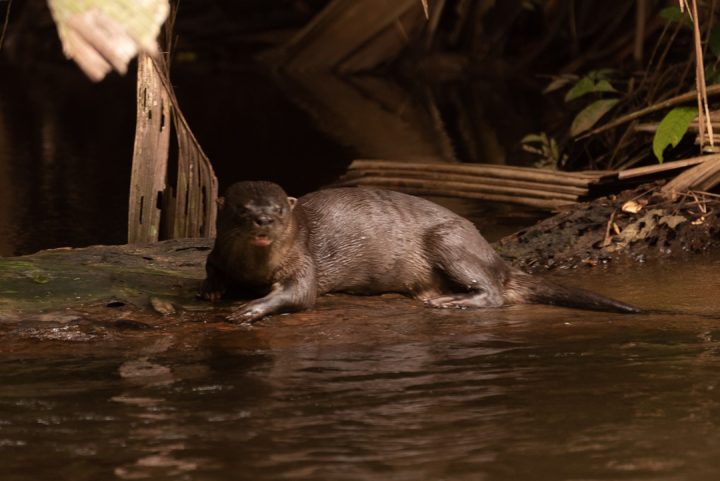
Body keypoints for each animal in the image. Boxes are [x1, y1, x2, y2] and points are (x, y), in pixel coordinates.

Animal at [200, 180, 640, 322]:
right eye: (242, 210)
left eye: (277, 210)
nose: (263, 220)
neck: (255, 270)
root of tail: (495, 257)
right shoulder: (217, 253)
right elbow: (210, 267)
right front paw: (213, 290)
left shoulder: (302, 261)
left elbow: (300, 295)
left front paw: (249, 309)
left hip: (450, 241)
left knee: (495, 292)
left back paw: (449, 302)